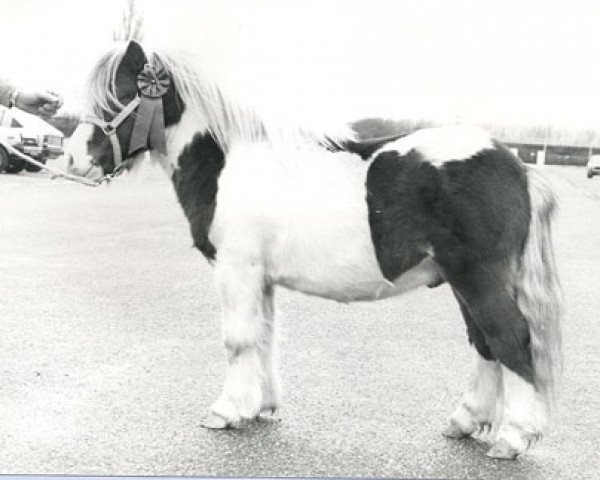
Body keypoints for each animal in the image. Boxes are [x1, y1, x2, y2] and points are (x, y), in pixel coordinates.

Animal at [67, 39, 564, 460]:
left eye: (118, 97)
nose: (74, 160)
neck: (227, 164)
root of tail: (516, 165)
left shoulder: (236, 269)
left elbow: (238, 338)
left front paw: (226, 411)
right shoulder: (260, 277)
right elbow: (264, 335)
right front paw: (259, 406)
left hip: (477, 278)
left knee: (510, 338)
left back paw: (511, 437)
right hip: (463, 281)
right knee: (484, 342)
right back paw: (465, 421)